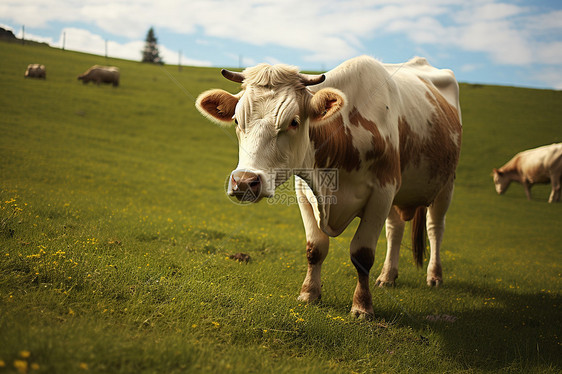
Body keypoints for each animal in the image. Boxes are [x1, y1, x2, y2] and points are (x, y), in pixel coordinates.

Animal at [195, 56, 462, 318]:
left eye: (294, 122)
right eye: (237, 120)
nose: (244, 181)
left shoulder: (382, 192)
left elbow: (362, 253)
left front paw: (362, 307)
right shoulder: (305, 192)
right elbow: (315, 248)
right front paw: (309, 294)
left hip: (446, 184)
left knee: (435, 228)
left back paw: (434, 276)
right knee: (395, 229)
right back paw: (387, 277)